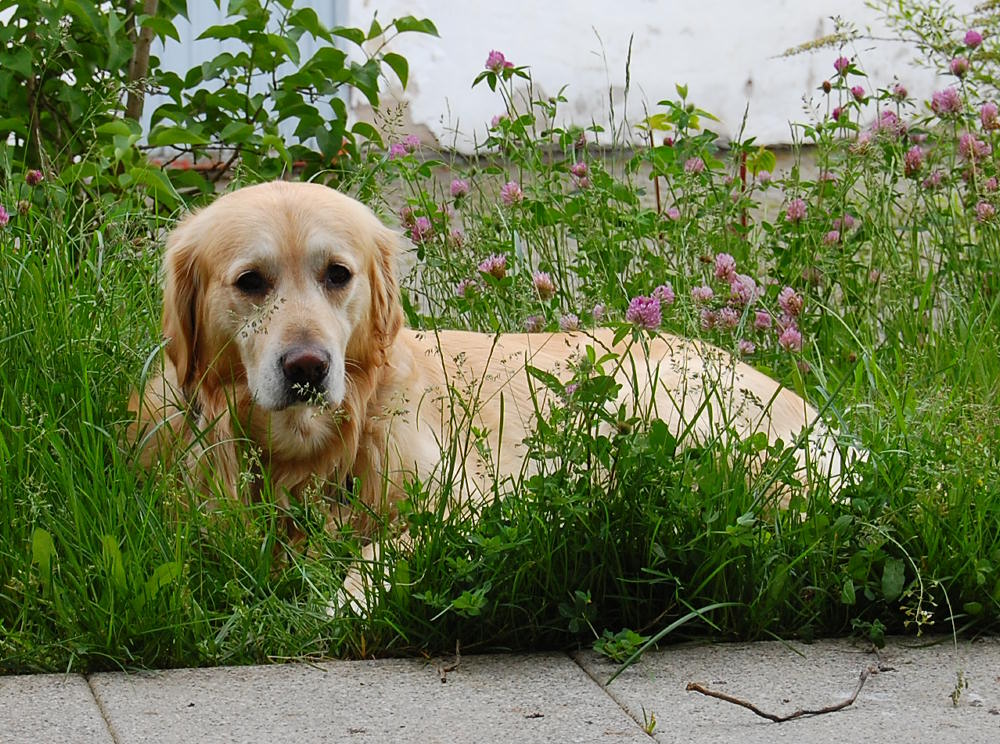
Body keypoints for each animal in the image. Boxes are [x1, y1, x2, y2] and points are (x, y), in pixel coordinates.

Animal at [129, 182, 856, 612]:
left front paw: (336, 605)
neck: (307, 452)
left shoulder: (464, 507)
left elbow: (377, 556)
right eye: (251, 281)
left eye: (337, 274)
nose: (308, 367)